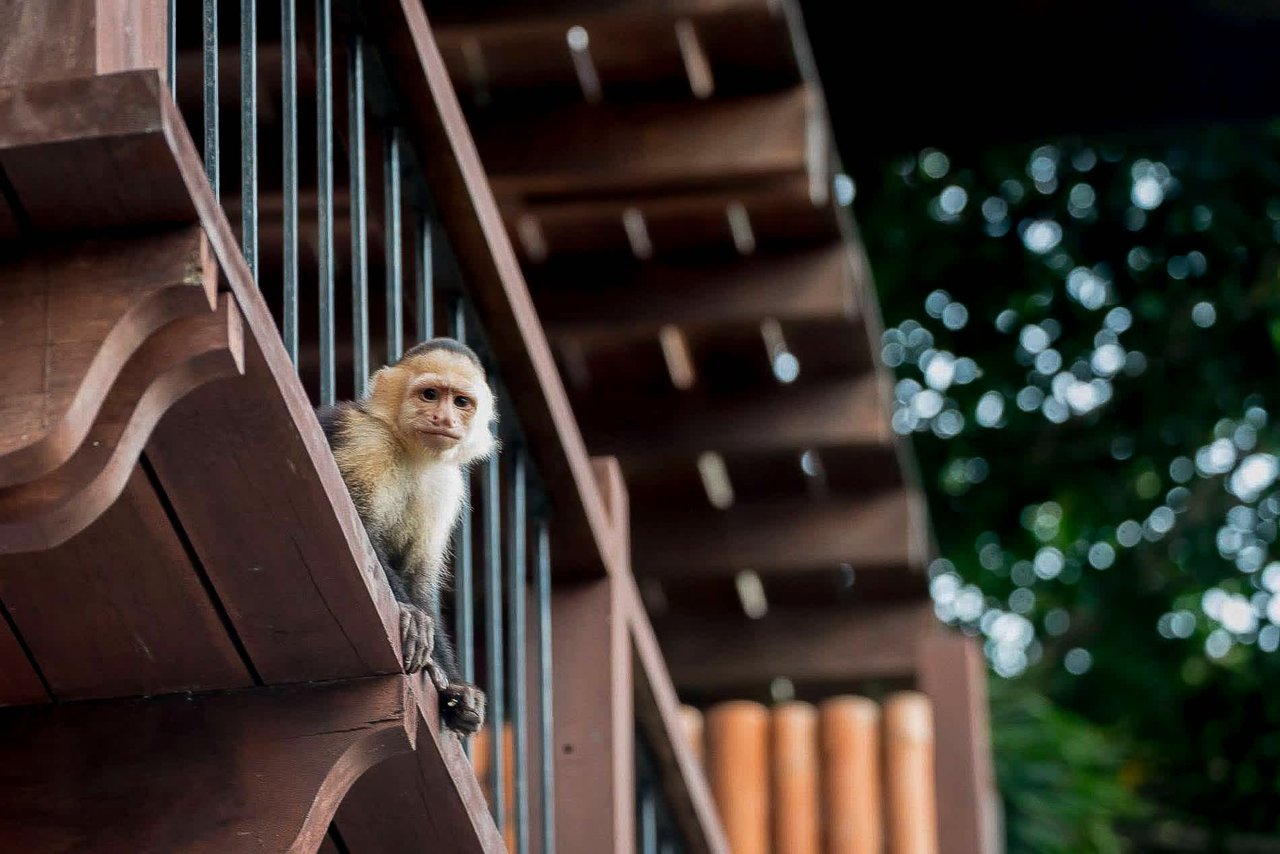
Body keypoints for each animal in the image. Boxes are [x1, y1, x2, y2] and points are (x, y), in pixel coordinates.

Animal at [320, 338, 494, 737]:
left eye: (461, 402)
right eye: (430, 395)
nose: (444, 419)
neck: (410, 449)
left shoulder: (447, 483)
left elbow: (419, 577)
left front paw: (459, 691)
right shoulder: (365, 440)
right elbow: (357, 530)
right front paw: (411, 615)